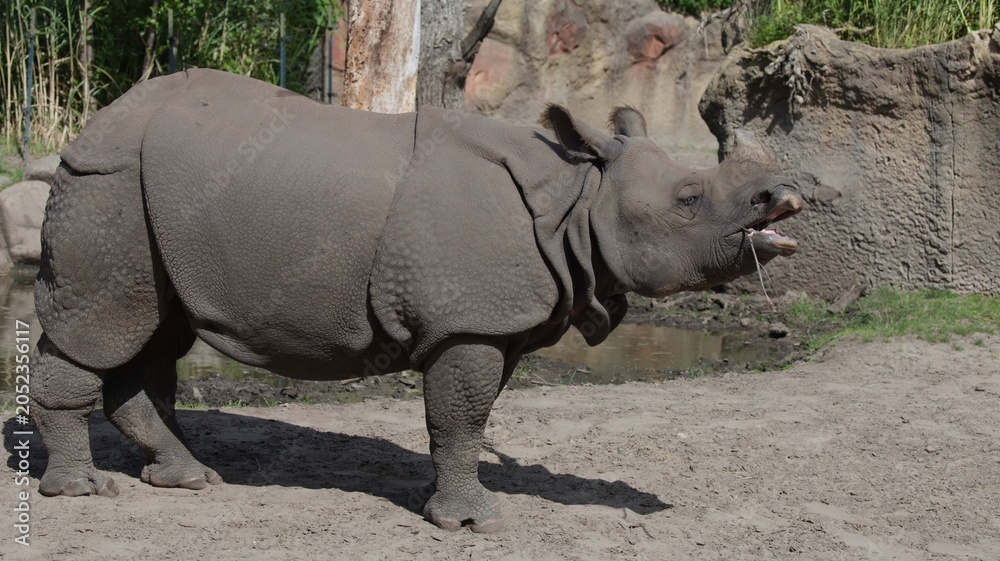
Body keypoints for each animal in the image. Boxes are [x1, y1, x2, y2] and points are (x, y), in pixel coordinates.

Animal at [30, 68, 802, 532]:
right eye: (690, 199)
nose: (782, 194)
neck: (578, 199)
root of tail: (90, 124)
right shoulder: (469, 321)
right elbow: (460, 416)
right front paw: (475, 523)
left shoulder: (496, 318)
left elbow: (469, 417)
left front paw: (455, 506)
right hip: (107, 184)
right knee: (104, 325)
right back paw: (82, 492)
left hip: (151, 199)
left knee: (152, 333)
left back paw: (188, 478)